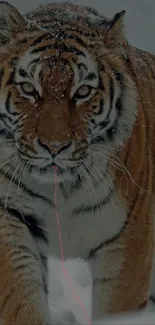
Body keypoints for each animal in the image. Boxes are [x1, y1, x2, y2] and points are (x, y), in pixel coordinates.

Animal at [0, 0, 155, 322]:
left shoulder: (129, 239)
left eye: (82, 91)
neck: (62, 189)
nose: (54, 147)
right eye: (29, 89)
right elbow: (20, 299)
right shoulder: (10, 216)